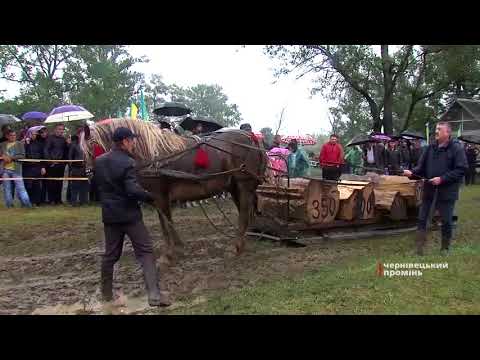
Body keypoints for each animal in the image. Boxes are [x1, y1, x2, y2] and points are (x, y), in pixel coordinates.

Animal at [79, 118, 266, 262]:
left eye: (92, 144)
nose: (88, 174)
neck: (153, 156)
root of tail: (251, 138)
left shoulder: (159, 195)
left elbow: (164, 224)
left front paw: (168, 254)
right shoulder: (159, 197)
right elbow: (168, 221)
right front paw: (178, 246)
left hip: (243, 183)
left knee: (244, 211)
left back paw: (236, 245)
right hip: (234, 186)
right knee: (244, 211)